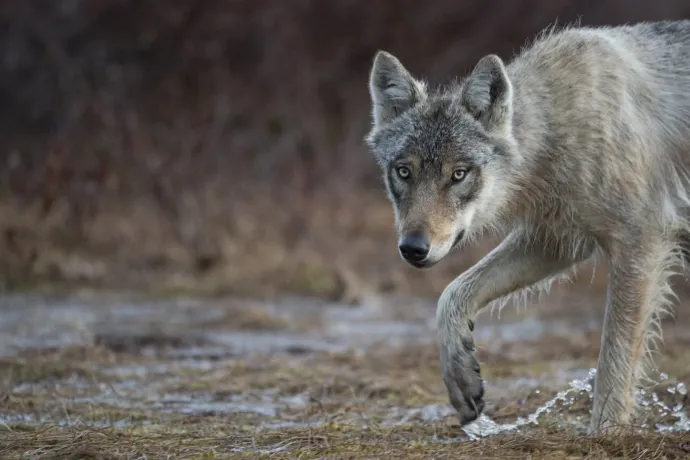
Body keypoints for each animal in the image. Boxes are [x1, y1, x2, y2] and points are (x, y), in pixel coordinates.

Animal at [362, 18, 688, 434]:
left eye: (458, 174)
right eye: (403, 172)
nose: (413, 248)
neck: (558, 129)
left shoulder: (641, 242)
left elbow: (613, 360)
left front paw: (604, 435)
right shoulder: (556, 242)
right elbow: (451, 295)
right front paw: (462, 379)